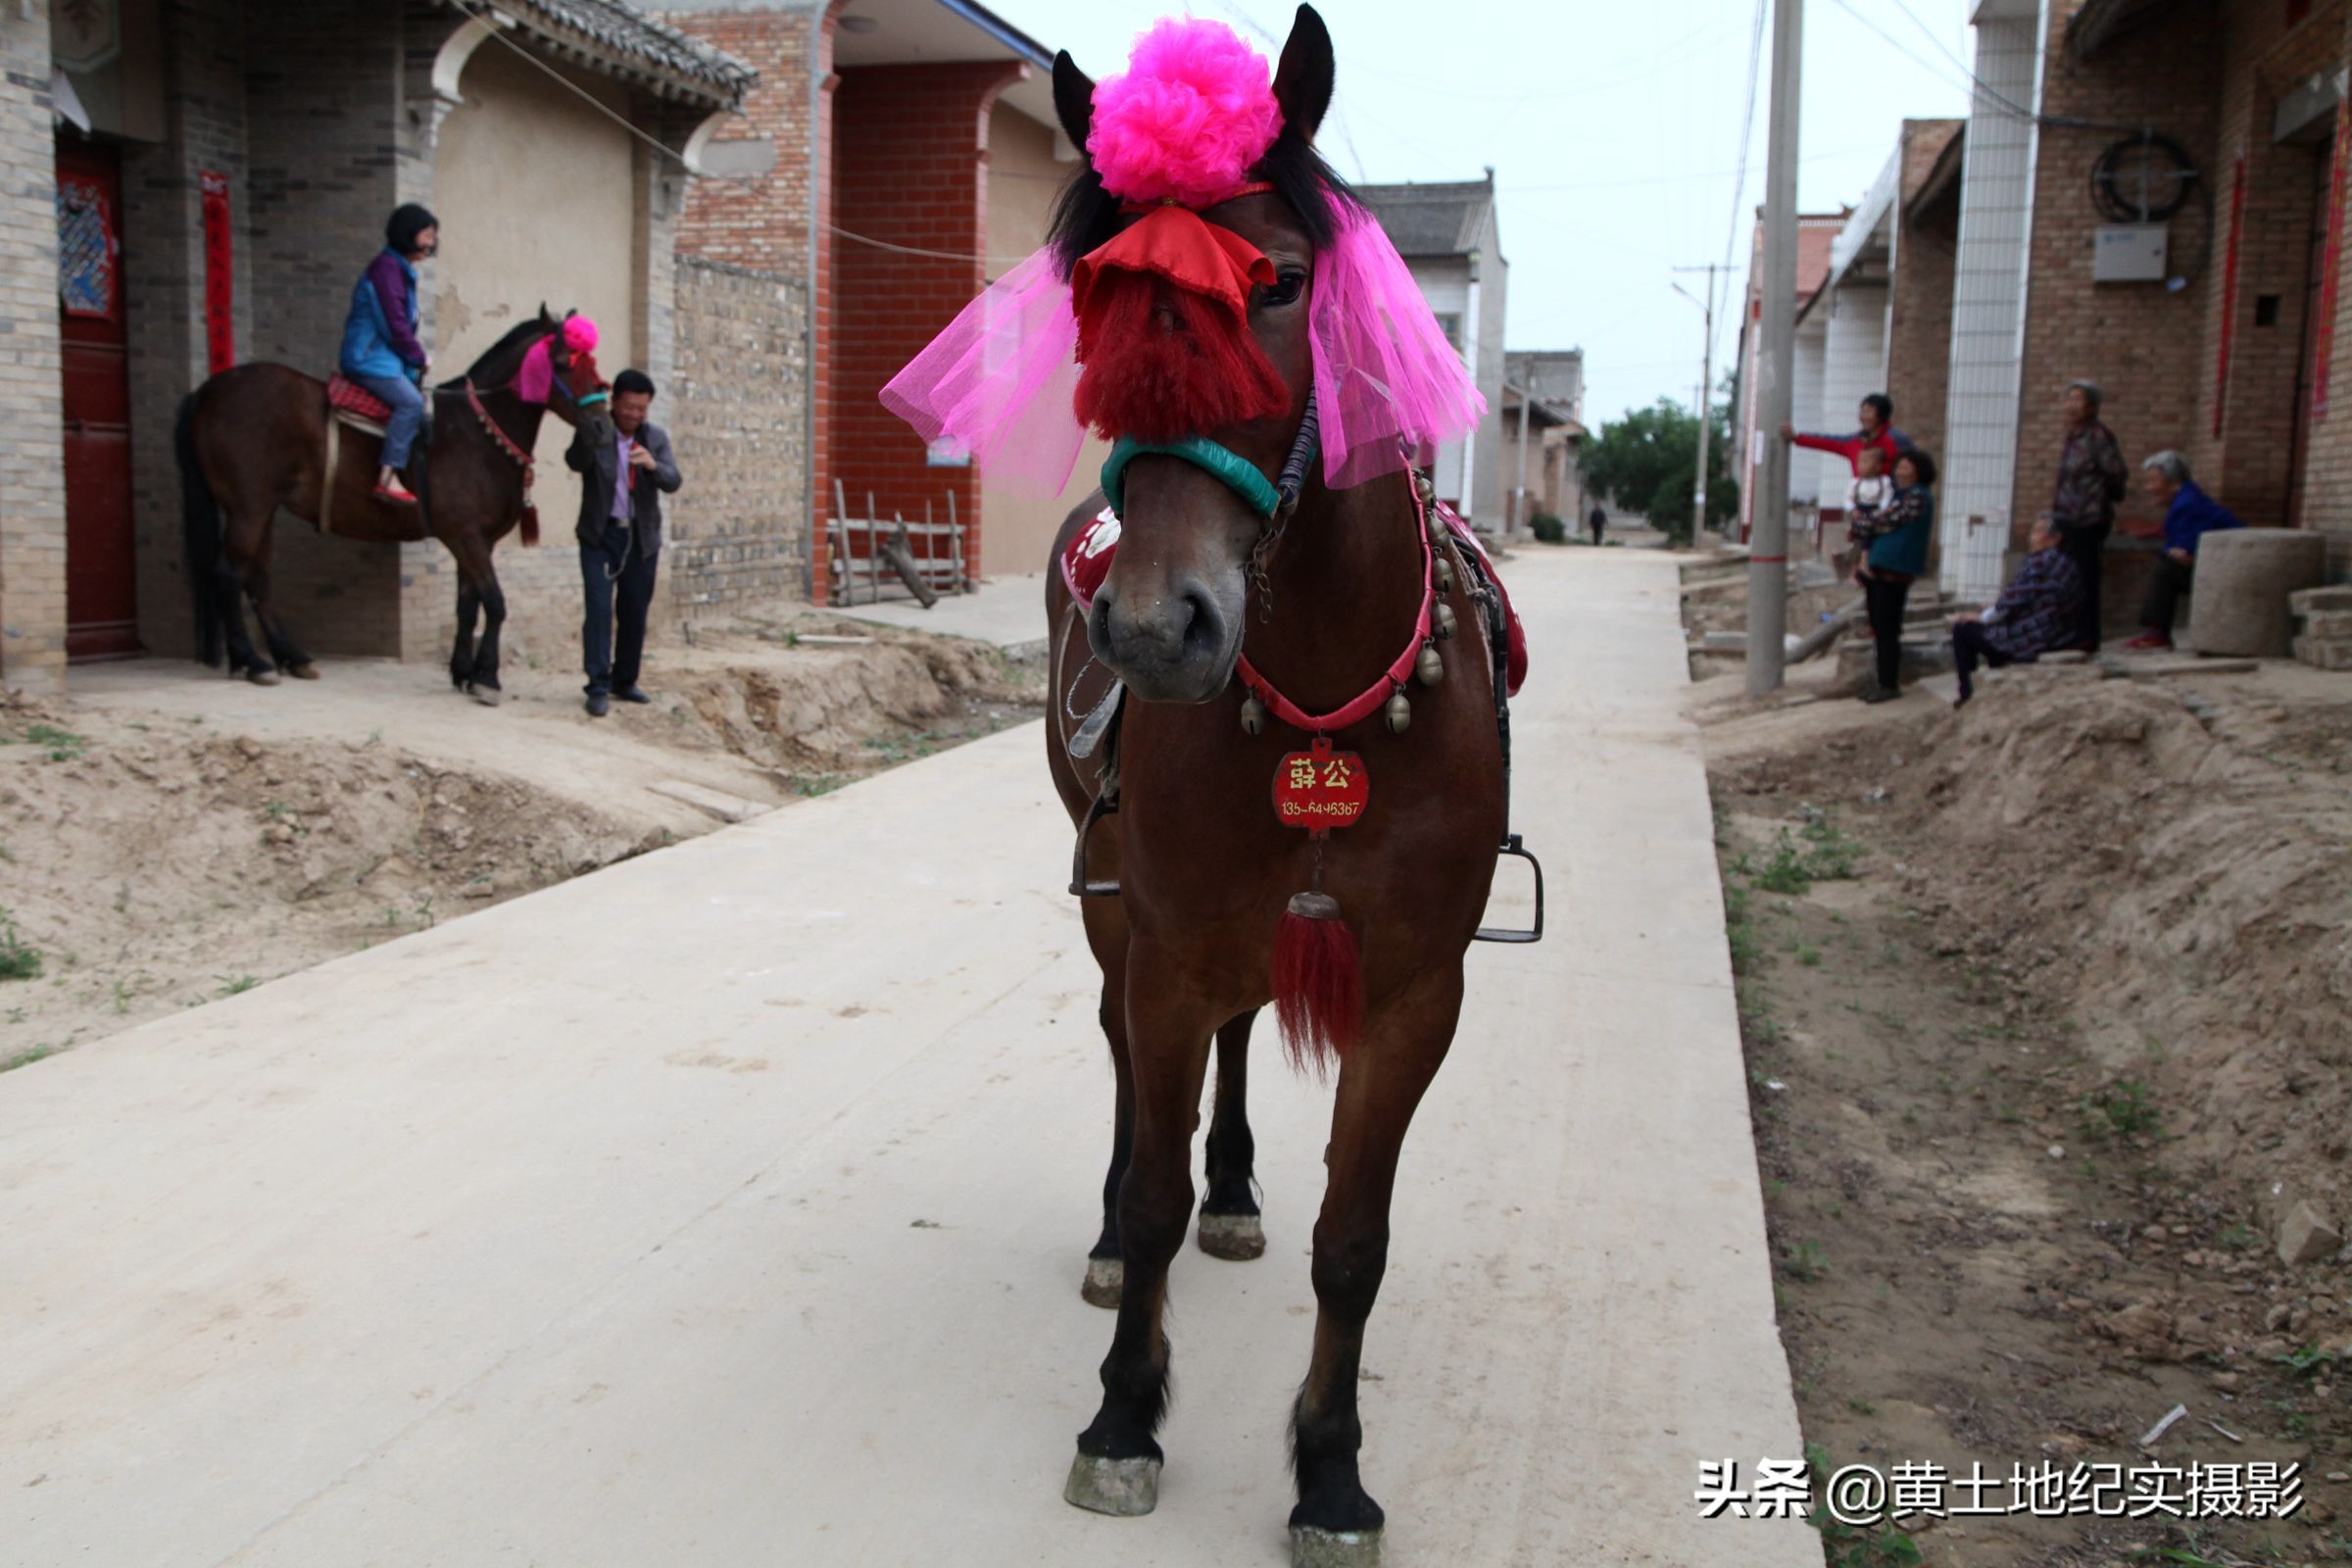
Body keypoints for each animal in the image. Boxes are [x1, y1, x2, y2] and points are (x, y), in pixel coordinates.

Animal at [178, 305, 612, 700]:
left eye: (591, 362)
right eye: (562, 362)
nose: (603, 427)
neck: (475, 433)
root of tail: (209, 391)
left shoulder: (475, 542)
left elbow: (467, 605)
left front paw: (463, 671)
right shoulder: (467, 537)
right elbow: (495, 603)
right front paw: (487, 677)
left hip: (261, 510)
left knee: (257, 580)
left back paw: (291, 656)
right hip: (248, 508)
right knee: (228, 576)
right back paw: (252, 661)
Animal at [884, 6, 1543, 1560]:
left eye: (1284, 281)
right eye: (1097, 303)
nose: (1151, 626)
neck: (1321, 695)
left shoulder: (1415, 986)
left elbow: (1353, 1243)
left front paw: (1331, 1472)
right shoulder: (1170, 940)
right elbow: (1148, 1176)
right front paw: (1125, 1414)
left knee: (1238, 1057)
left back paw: (1238, 1186)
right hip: (1120, 909)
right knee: (1134, 1082)